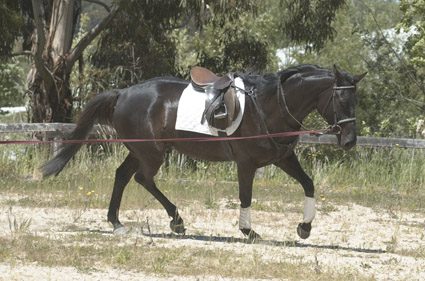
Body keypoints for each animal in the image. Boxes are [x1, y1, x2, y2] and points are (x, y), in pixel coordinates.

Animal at [42, 64, 364, 240]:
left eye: (355, 100)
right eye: (341, 99)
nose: (349, 141)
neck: (269, 104)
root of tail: (122, 93)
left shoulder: (283, 158)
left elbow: (309, 184)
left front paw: (304, 227)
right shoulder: (246, 163)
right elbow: (245, 196)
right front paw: (248, 231)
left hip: (143, 150)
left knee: (123, 176)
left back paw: (119, 223)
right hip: (151, 152)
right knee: (142, 179)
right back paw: (176, 221)